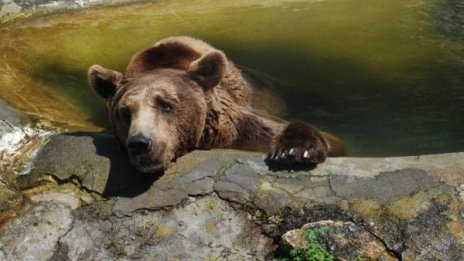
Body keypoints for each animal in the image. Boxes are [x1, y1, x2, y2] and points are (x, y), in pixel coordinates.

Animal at [89, 35, 344, 173]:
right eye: (124, 112)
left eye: (165, 105)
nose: (140, 143)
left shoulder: (240, 126)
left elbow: (330, 141)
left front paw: (294, 150)